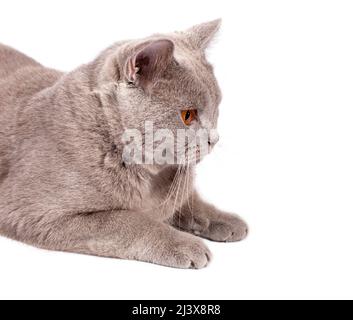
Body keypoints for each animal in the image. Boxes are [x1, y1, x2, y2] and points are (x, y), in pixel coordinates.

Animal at [0, 20, 248, 268]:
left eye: (216, 107)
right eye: (188, 115)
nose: (214, 139)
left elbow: (187, 201)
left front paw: (225, 219)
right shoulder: (31, 211)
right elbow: (128, 220)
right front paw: (186, 244)